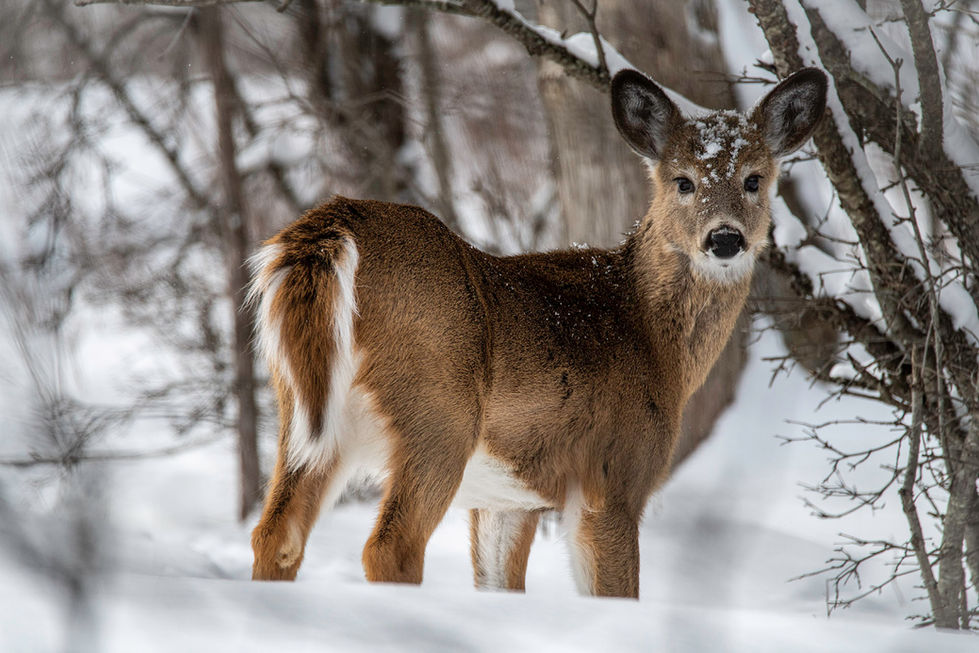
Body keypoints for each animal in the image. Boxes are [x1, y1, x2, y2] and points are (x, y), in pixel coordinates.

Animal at [247, 67, 827, 598]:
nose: (725, 238)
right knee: (390, 547)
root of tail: (330, 230)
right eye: (682, 180)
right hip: (437, 410)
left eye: (754, 179)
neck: (649, 335)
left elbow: (501, 584)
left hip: (304, 413)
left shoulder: (508, 498)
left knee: (275, 533)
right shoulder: (613, 476)